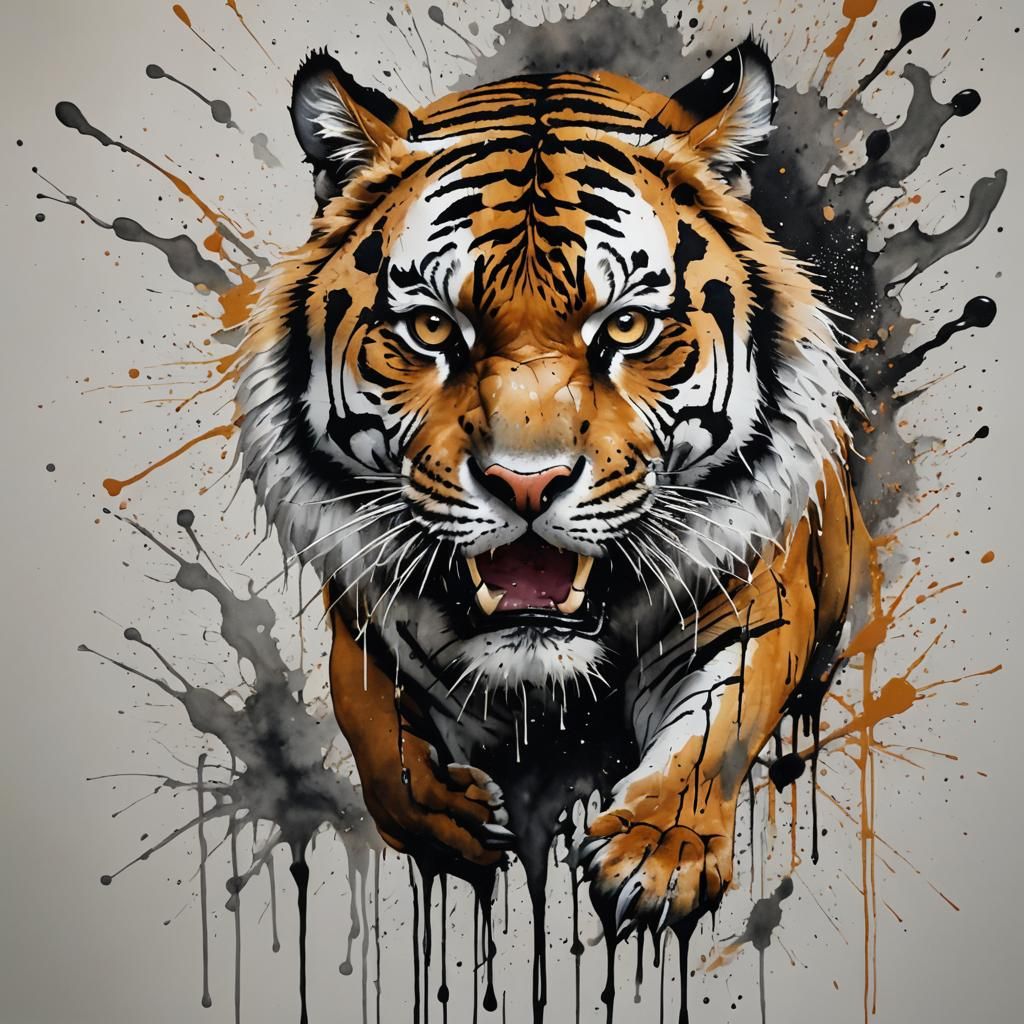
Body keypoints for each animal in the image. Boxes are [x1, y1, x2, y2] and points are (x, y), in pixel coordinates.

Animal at [234, 39, 872, 949]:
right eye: (433, 329)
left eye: (626, 327)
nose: (525, 482)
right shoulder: (363, 625)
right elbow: (377, 736)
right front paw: (452, 817)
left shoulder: (757, 602)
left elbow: (714, 729)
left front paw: (659, 853)